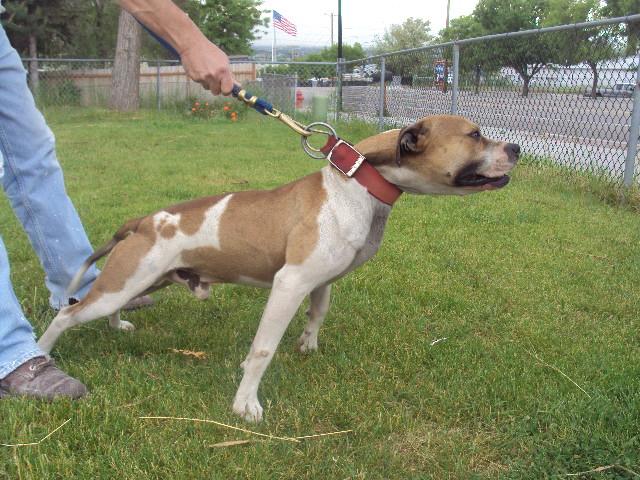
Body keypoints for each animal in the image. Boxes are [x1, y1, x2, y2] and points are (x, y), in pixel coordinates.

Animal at [38, 115, 520, 422]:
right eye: (475, 135)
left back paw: (116, 326)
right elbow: (262, 350)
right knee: (68, 312)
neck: (358, 182)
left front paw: (308, 344)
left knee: (108, 303)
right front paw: (245, 404)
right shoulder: (289, 283)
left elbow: (318, 312)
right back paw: (41, 352)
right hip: (126, 280)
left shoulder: (321, 279)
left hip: (140, 279)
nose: (515, 147)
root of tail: (142, 220)